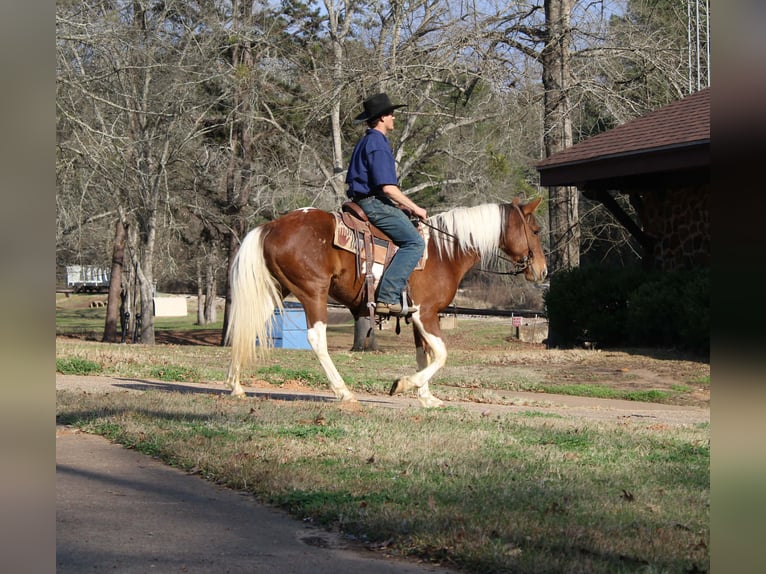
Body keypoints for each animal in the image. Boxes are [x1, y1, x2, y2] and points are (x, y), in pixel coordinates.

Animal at [224, 197, 547, 408]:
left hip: (276, 290)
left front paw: (426, 396)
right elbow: (441, 354)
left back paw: (235, 386)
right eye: (535, 231)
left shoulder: (417, 316)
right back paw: (343, 392)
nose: (542, 270)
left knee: (247, 327)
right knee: (316, 339)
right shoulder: (426, 314)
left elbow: (424, 354)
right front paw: (405, 384)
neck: (445, 252)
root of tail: (271, 226)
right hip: (313, 292)